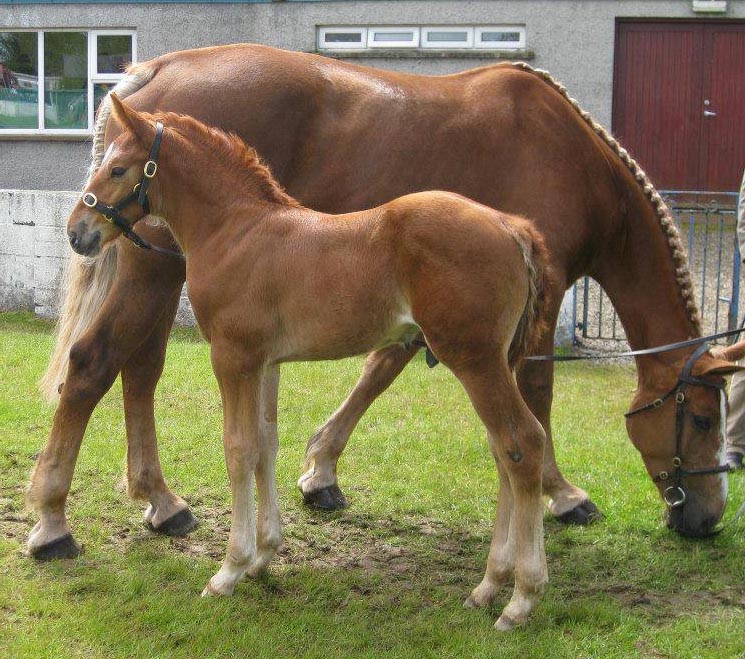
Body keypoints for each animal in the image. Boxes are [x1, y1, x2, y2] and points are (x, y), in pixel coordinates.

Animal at [27, 45, 740, 564]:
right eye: (704, 419)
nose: (707, 519)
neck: (573, 159)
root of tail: (151, 74)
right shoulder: (541, 296)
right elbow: (536, 395)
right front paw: (561, 495)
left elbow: (380, 368)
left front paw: (320, 471)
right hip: (152, 272)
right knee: (93, 364)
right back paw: (53, 521)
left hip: (158, 270)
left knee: (138, 370)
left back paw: (160, 499)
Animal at [64, 96, 548, 628]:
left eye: (117, 168)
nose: (77, 232)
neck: (236, 229)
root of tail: (511, 226)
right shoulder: (266, 362)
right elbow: (265, 445)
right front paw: (263, 556)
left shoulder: (232, 356)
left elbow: (238, 449)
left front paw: (229, 570)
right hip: (492, 362)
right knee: (503, 453)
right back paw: (488, 587)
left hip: (475, 359)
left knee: (522, 444)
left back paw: (521, 598)